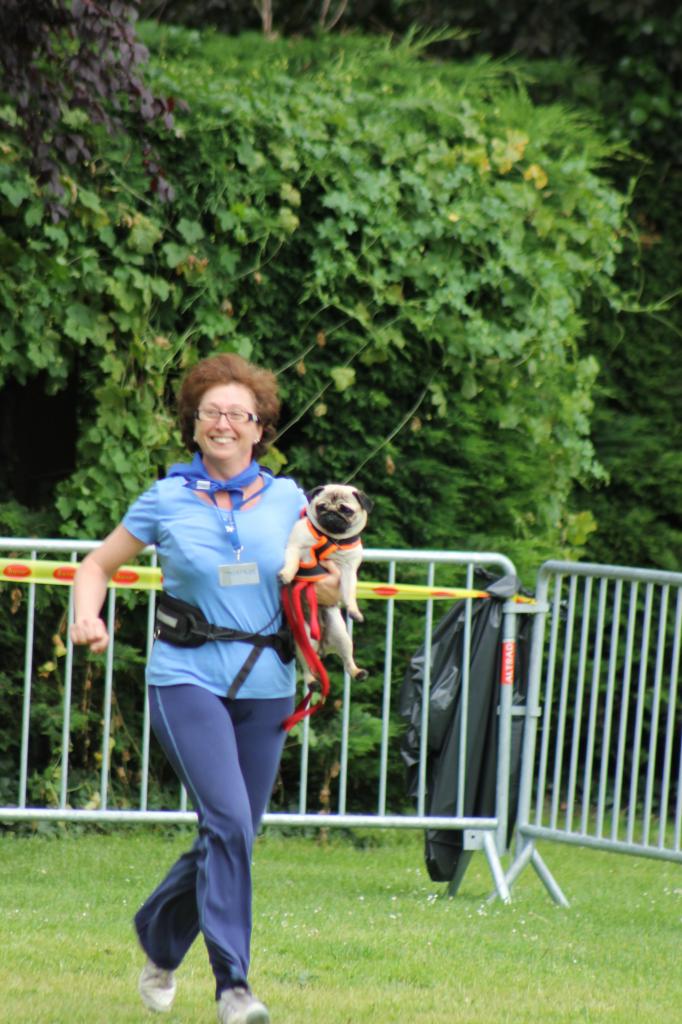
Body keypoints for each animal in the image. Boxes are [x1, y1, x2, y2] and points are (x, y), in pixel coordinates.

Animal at [276, 485, 372, 679]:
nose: (332, 513)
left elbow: (349, 593)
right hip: (304, 638)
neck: (331, 538)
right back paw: (312, 680)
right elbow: (292, 562)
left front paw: (354, 611)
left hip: (343, 637)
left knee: (347, 661)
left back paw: (358, 672)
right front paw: (287, 574)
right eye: (321, 507)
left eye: (346, 510)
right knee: (307, 667)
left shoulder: (348, 570)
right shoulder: (295, 546)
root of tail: (322, 647)